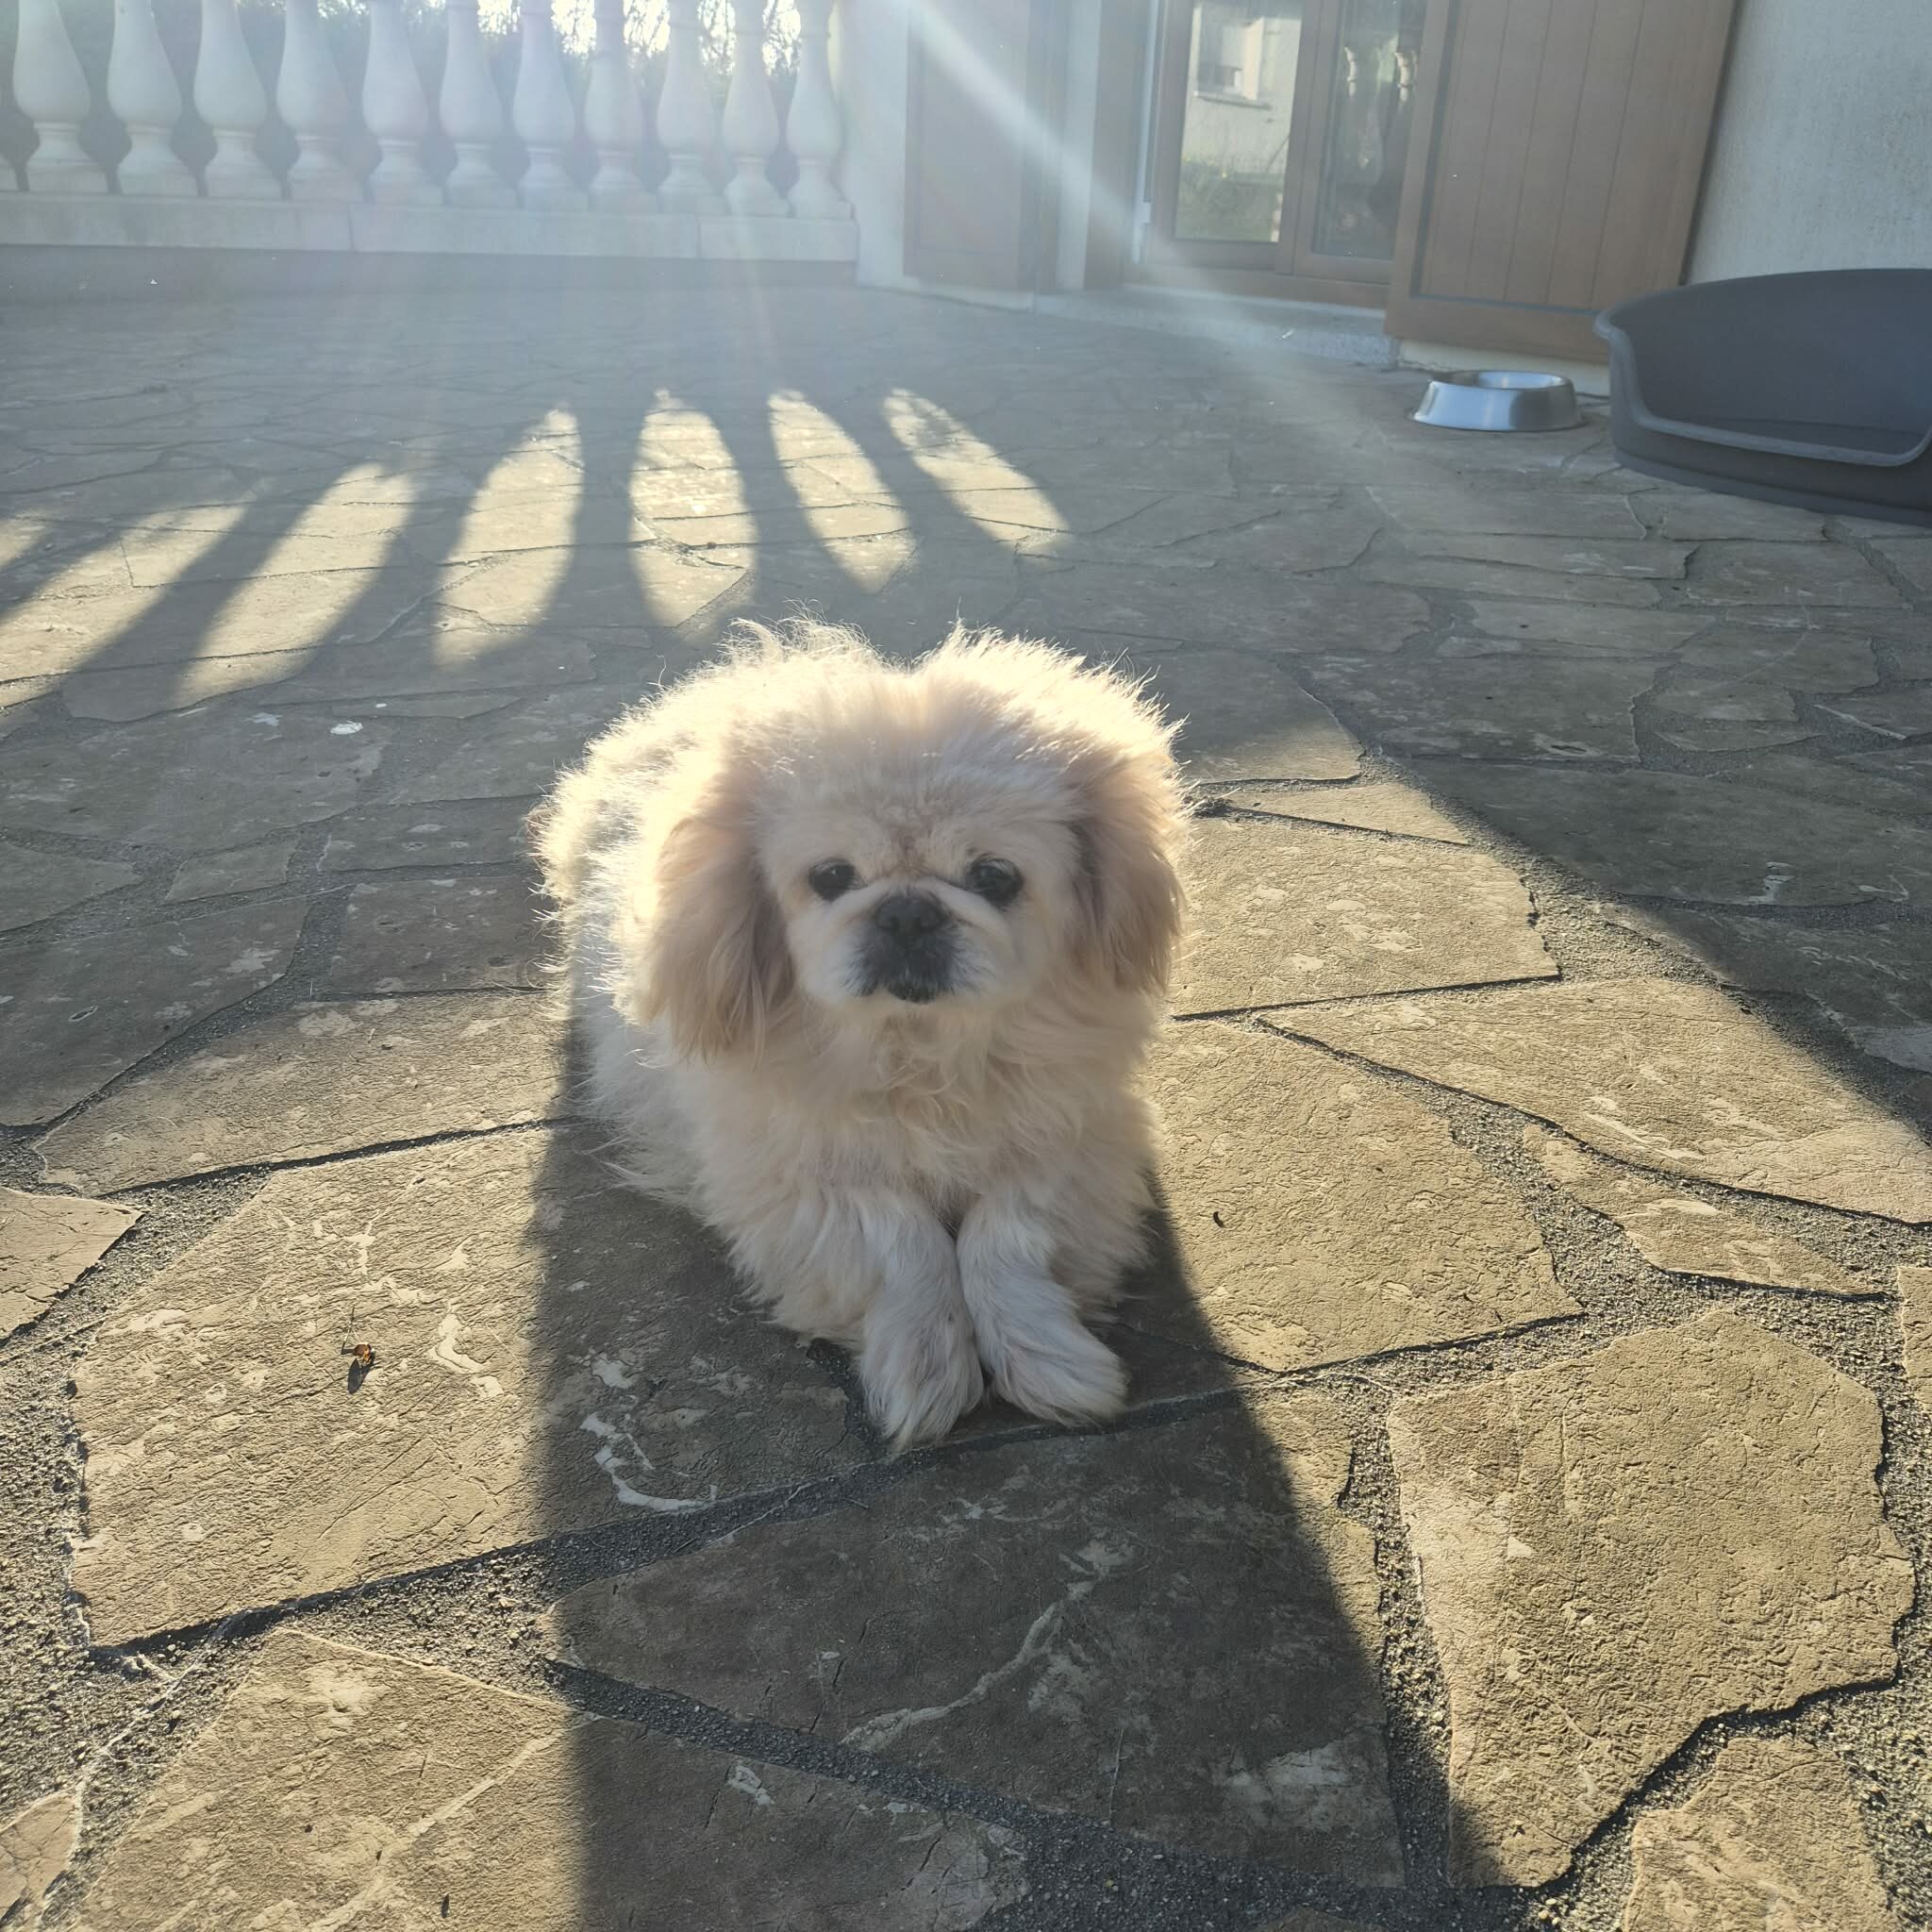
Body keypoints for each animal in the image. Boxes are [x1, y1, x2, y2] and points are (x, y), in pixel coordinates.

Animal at [533, 621, 1185, 1448]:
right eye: (832, 877)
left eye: (995, 877)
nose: (907, 911)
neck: (919, 1053)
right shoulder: (797, 1173)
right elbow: (904, 1240)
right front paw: (925, 1368)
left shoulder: (1074, 1142)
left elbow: (1002, 1237)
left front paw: (1052, 1363)